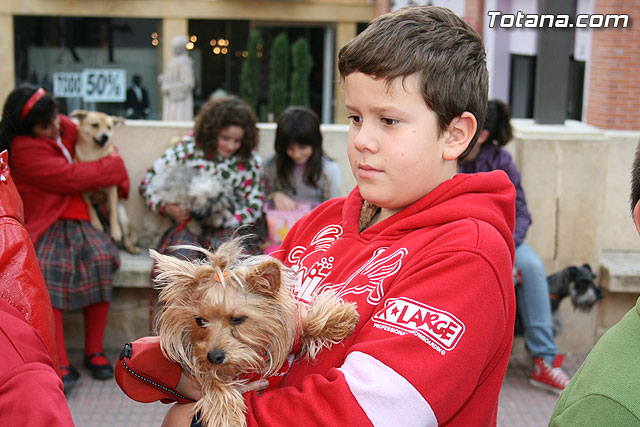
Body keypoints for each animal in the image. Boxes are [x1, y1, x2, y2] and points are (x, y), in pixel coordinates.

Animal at [70, 110, 139, 254]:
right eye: (95, 125)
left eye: (109, 127)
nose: (106, 137)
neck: (93, 156)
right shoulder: (83, 191)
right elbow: (90, 208)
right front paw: (96, 223)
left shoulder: (112, 189)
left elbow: (112, 211)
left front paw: (116, 232)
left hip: (124, 218)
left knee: (126, 236)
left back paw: (130, 246)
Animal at [150, 238, 360, 427]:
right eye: (200, 320)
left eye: (237, 319)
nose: (214, 356)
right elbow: (213, 380)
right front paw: (227, 415)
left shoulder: (289, 333)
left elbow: (306, 325)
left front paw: (342, 318)